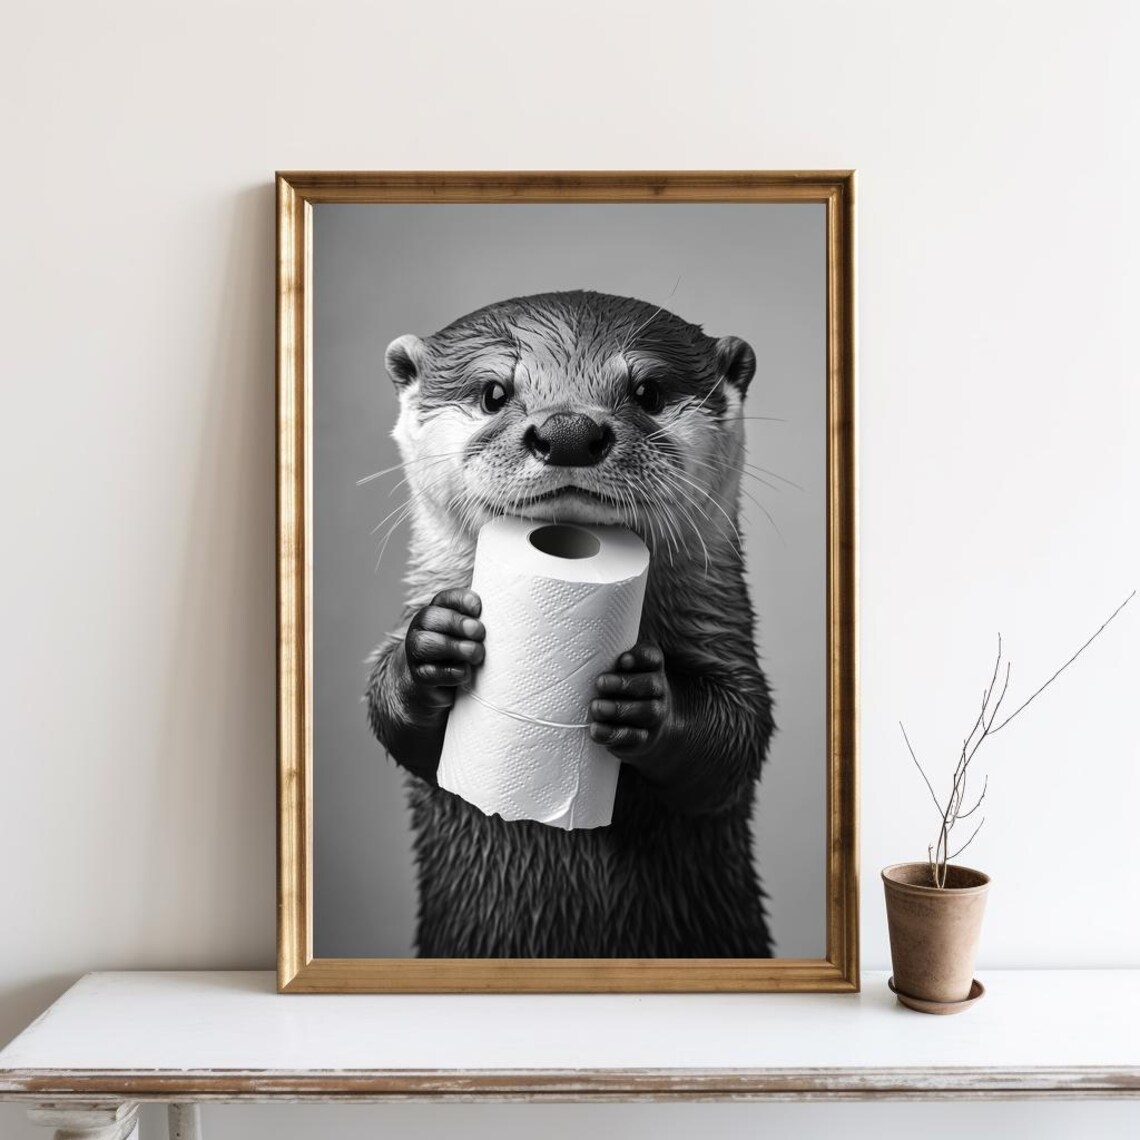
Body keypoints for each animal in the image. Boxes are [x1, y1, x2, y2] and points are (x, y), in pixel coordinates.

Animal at [366, 290, 774, 958]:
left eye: (648, 391)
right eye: (494, 392)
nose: (569, 432)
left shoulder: (728, 641)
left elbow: (735, 742)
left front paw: (645, 700)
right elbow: (402, 736)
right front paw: (431, 648)